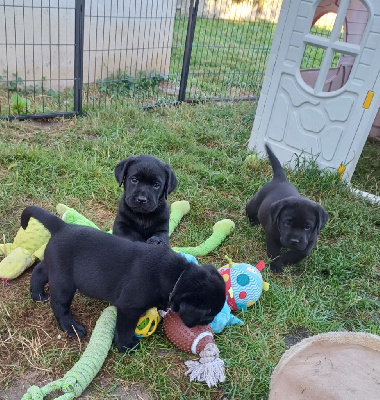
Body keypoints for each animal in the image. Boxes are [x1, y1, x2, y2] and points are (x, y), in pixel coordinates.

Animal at [23, 206, 226, 350]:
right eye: (208, 315)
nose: (208, 323)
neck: (177, 275)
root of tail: (62, 227)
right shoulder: (129, 308)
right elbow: (126, 328)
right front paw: (126, 346)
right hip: (64, 281)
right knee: (59, 304)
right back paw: (71, 327)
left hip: (56, 265)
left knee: (40, 270)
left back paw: (37, 294)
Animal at [245, 145, 328, 274]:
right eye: (287, 223)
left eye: (307, 227)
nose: (294, 241)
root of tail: (280, 179)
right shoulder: (272, 236)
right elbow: (275, 252)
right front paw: (276, 265)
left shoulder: (308, 243)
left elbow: (297, 254)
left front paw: (284, 260)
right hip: (255, 203)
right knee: (248, 207)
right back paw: (253, 220)